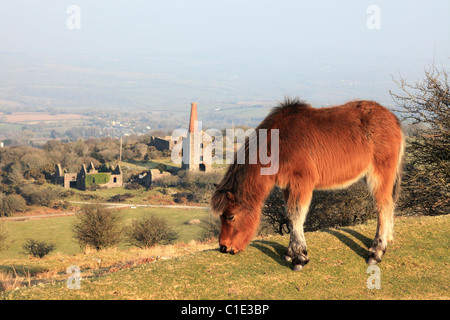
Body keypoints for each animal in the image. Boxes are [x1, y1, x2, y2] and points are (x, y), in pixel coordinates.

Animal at [211, 97, 404, 270]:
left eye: (230, 216)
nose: (224, 247)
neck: (279, 143)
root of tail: (393, 119)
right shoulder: (287, 187)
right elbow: (290, 216)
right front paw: (290, 253)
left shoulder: (301, 183)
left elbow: (297, 214)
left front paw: (299, 257)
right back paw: (388, 239)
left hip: (379, 176)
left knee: (383, 206)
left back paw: (376, 252)